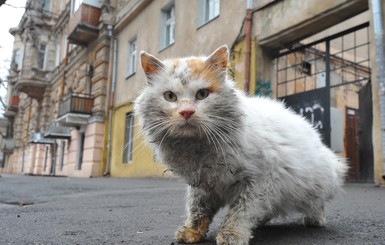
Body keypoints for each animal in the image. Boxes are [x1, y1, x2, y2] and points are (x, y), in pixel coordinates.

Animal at [135, 45, 348, 244]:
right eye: (170, 96)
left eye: (202, 94)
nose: (186, 112)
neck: (197, 148)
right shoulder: (201, 186)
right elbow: (197, 211)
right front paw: (191, 233)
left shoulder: (258, 183)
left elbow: (240, 213)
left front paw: (231, 235)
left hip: (324, 180)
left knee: (316, 204)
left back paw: (314, 220)